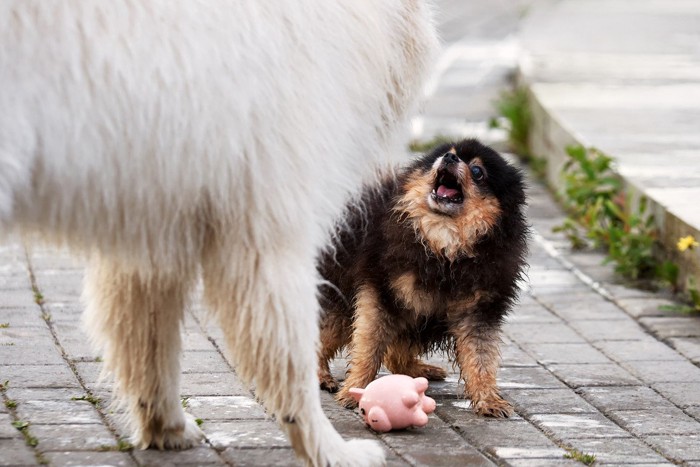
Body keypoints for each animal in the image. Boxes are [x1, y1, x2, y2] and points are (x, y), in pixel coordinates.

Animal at [0, 0, 434, 467]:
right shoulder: (269, 214)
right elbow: (289, 350)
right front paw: (331, 448)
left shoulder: (155, 219)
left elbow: (147, 338)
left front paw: (167, 427)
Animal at [316, 139, 524, 416]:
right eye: (449, 153)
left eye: (477, 171)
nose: (448, 158)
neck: (445, 245)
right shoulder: (381, 292)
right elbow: (368, 347)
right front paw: (354, 390)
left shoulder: (479, 310)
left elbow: (481, 358)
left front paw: (488, 399)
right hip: (341, 300)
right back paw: (321, 376)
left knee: (395, 355)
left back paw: (420, 371)